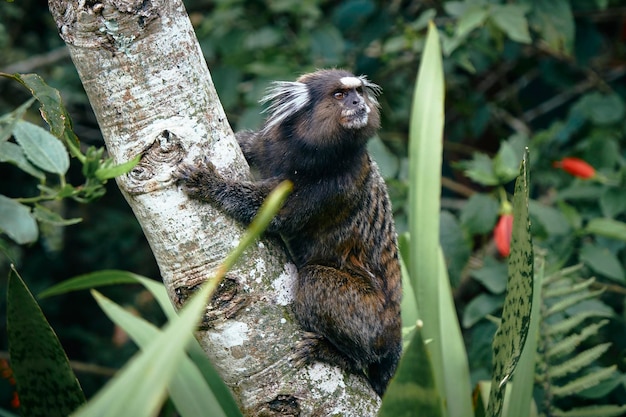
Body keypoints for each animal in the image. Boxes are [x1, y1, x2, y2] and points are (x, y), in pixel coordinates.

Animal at [177, 69, 400, 396]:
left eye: (358, 92)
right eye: (340, 95)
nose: (358, 103)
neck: (312, 155)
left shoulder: (335, 184)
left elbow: (270, 214)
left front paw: (210, 183)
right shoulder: (271, 144)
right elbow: (251, 145)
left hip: (372, 319)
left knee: (316, 282)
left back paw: (338, 354)